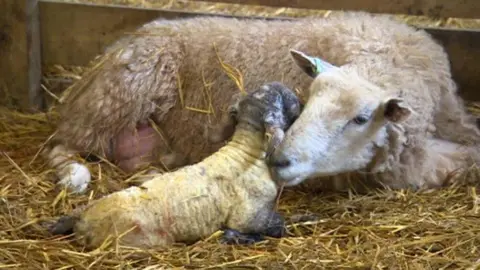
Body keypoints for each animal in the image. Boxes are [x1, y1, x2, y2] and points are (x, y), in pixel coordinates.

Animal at [46, 81, 300, 250]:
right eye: (283, 97)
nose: (299, 97)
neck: (245, 153)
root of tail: (83, 223)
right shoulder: (249, 217)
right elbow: (278, 225)